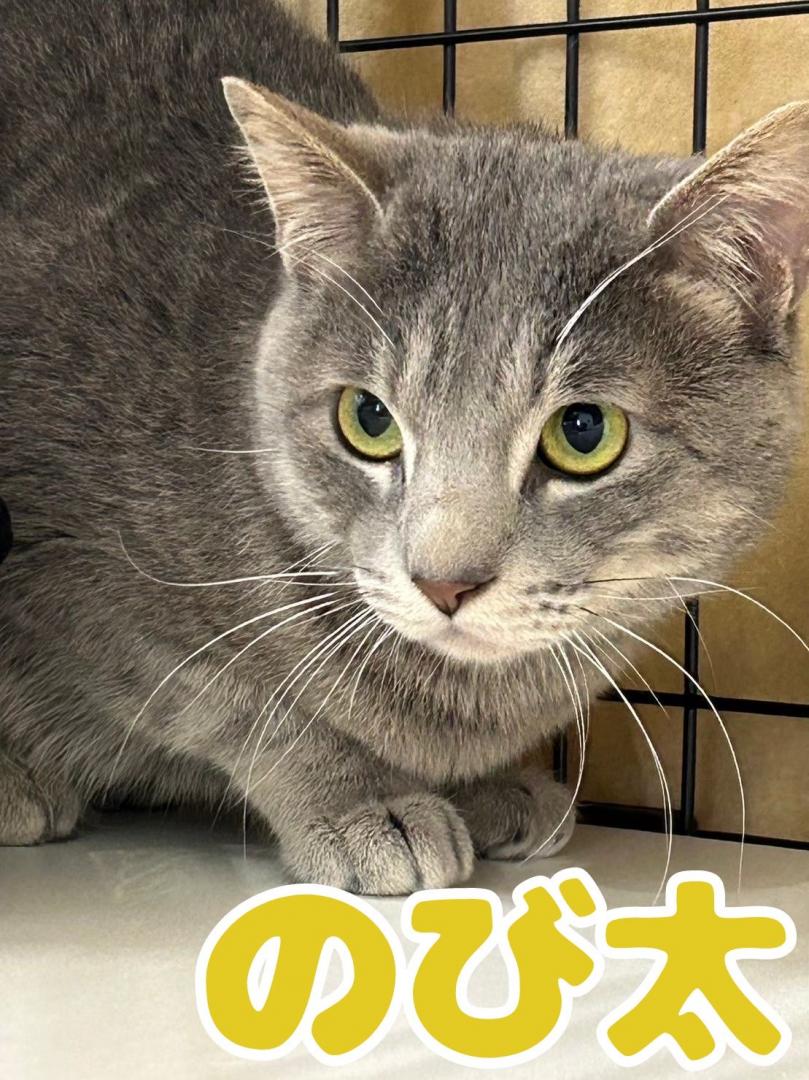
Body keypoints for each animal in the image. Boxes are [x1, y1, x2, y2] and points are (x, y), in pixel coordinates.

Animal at [1, 0, 806, 894]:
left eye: (584, 432)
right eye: (368, 418)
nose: (443, 583)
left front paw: (489, 786)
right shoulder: (75, 577)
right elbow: (234, 698)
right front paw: (362, 797)